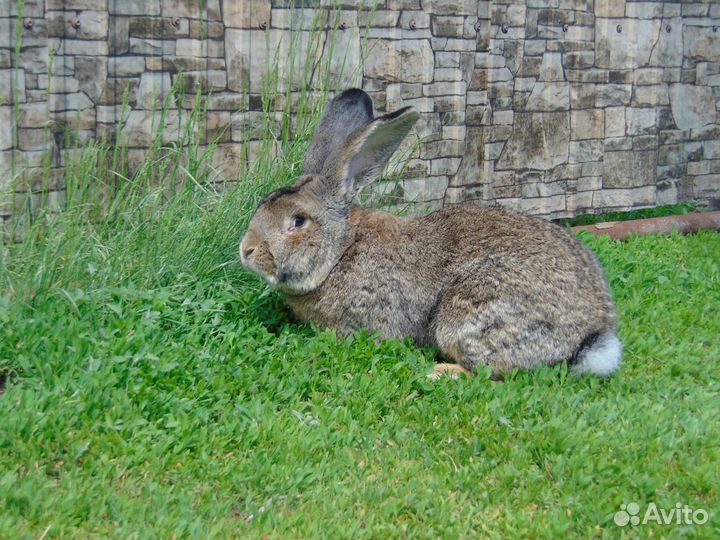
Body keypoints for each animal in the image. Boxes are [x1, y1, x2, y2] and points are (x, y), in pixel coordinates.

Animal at [239, 88, 620, 378]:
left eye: (298, 221)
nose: (246, 250)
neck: (341, 252)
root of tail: (592, 335)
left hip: (470, 312)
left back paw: (441, 372)